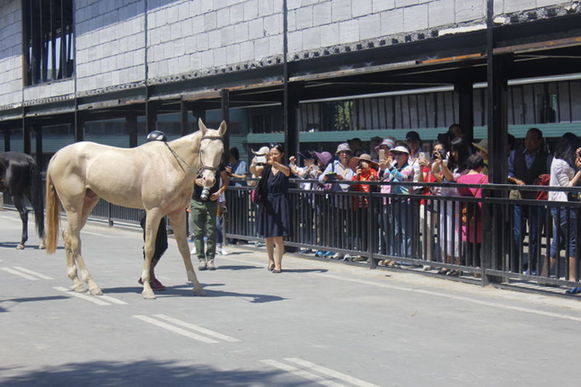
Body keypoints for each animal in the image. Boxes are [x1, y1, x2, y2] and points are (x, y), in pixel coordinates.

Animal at [44, 119, 227, 298]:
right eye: (202, 150)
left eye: (221, 150)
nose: (209, 180)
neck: (170, 164)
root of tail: (58, 154)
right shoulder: (154, 212)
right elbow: (150, 247)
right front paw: (147, 288)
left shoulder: (177, 213)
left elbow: (183, 249)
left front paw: (197, 286)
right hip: (73, 207)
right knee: (75, 241)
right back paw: (92, 284)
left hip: (87, 203)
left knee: (68, 236)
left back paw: (76, 282)